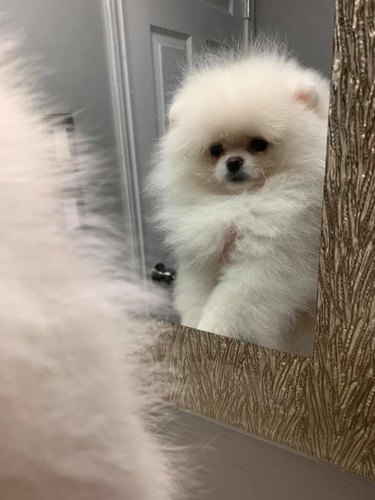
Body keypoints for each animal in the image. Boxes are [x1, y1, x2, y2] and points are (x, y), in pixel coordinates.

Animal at [151, 45, 330, 354]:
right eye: (215, 149)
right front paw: (194, 327)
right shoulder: (203, 258)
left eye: (259, 144)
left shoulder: (271, 262)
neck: (241, 203)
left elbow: (234, 305)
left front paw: (215, 330)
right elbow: (196, 297)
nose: (233, 162)